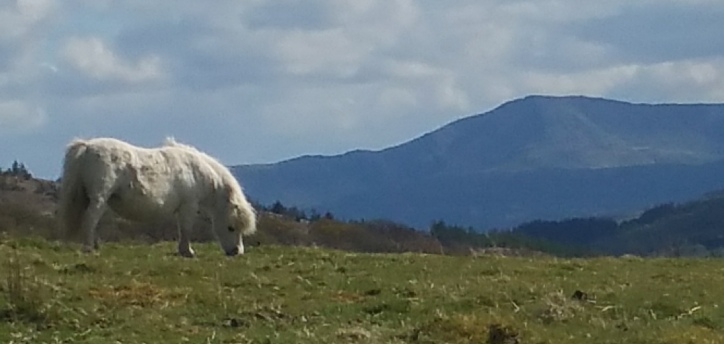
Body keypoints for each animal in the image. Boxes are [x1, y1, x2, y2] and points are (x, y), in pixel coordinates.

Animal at [59, 136, 258, 255]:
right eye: (231, 227)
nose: (236, 252)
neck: (196, 171)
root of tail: (87, 146)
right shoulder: (189, 206)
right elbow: (186, 228)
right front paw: (187, 251)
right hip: (99, 198)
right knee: (91, 219)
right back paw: (88, 248)